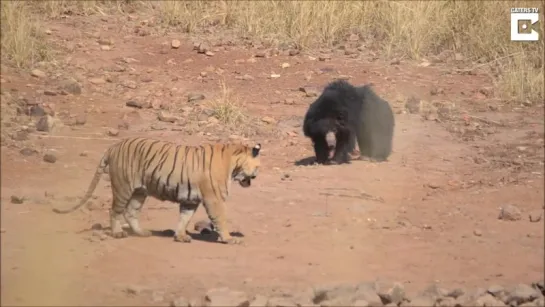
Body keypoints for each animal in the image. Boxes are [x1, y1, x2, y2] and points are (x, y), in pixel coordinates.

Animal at [51, 137, 262, 245]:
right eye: (258, 166)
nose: (257, 176)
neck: (233, 164)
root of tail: (112, 147)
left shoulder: (190, 200)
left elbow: (184, 218)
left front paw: (180, 236)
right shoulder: (214, 199)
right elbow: (221, 219)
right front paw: (228, 238)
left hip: (139, 192)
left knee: (130, 212)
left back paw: (141, 232)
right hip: (123, 187)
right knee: (115, 211)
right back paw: (117, 233)